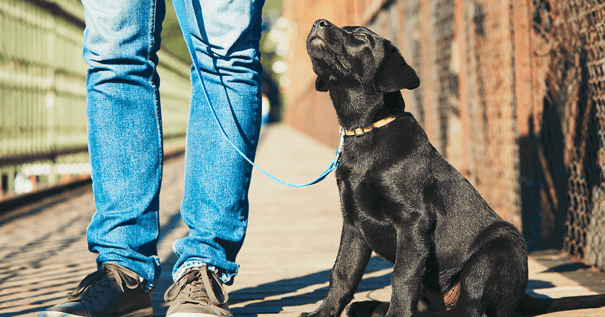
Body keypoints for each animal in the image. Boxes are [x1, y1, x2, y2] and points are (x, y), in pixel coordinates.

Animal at [304, 19, 604, 316]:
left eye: (362, 37)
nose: (318, 23)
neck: (367, 131)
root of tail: (522, 299)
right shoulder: (354, 223)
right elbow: (342, 273)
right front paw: (322, 312)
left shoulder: (413, 220)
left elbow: (402, 276)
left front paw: (396, 314)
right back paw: (370, 307)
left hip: (499, 247)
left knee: (470, 306)